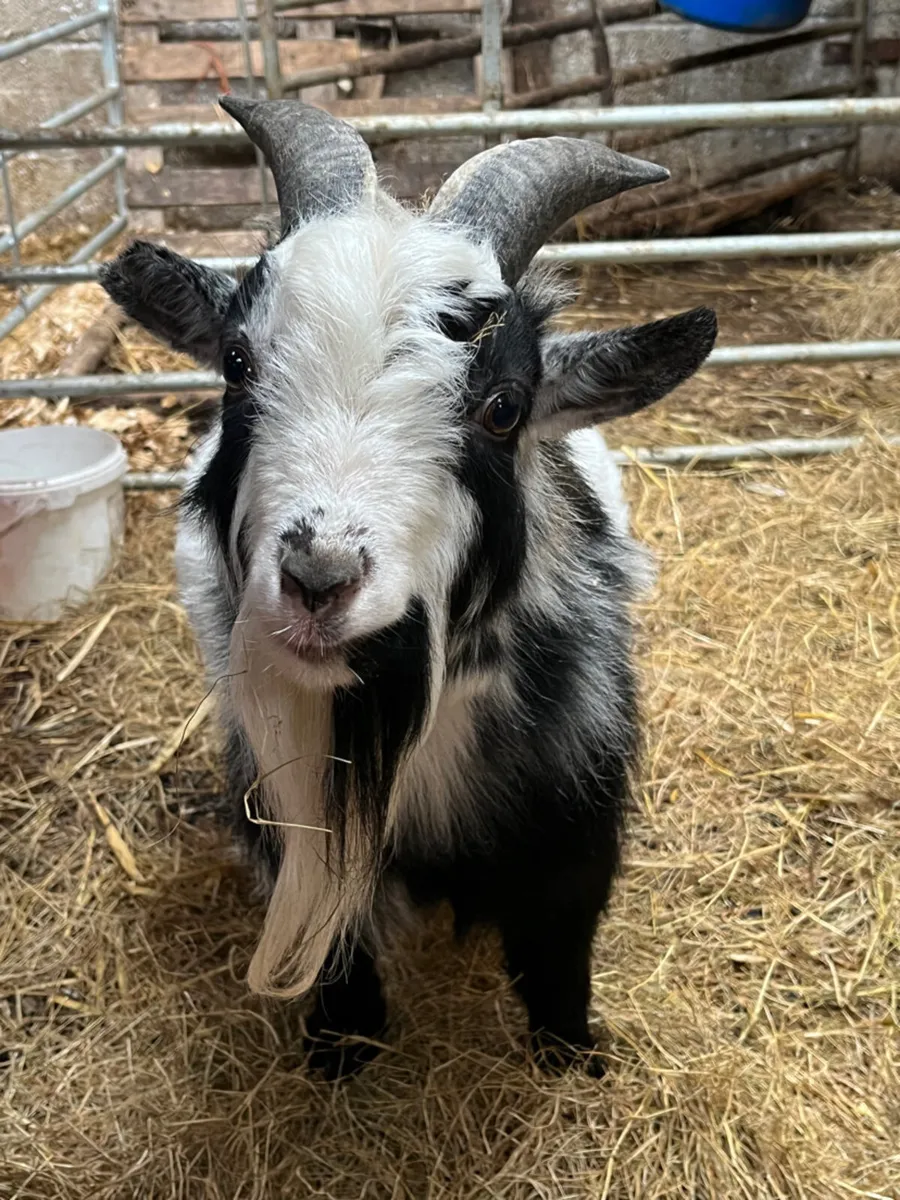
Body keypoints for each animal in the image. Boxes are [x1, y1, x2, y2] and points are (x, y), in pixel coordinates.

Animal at [100, 97, 717, 1080]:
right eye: (236, 362)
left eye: (504, 407)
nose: (319, 578)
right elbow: (336, 935)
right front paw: (339, 1051)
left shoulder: (574, 805)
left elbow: (561, 938)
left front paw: (570, 1058)